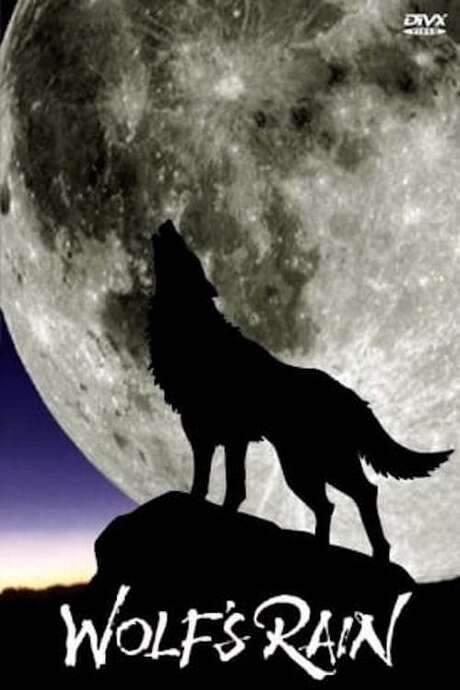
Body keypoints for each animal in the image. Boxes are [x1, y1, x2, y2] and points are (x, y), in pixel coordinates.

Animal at [146, 219, 453, 561]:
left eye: (187, 254)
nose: (169, 223)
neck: (194, 331)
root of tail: (351, 395)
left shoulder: (230, 438)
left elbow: (232, 488)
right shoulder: (204, 436)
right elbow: (205, 486)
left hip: (315, 465)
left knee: (362, 493)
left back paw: (374, 553)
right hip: (305, 469)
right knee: (331, 505)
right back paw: (323, 547)